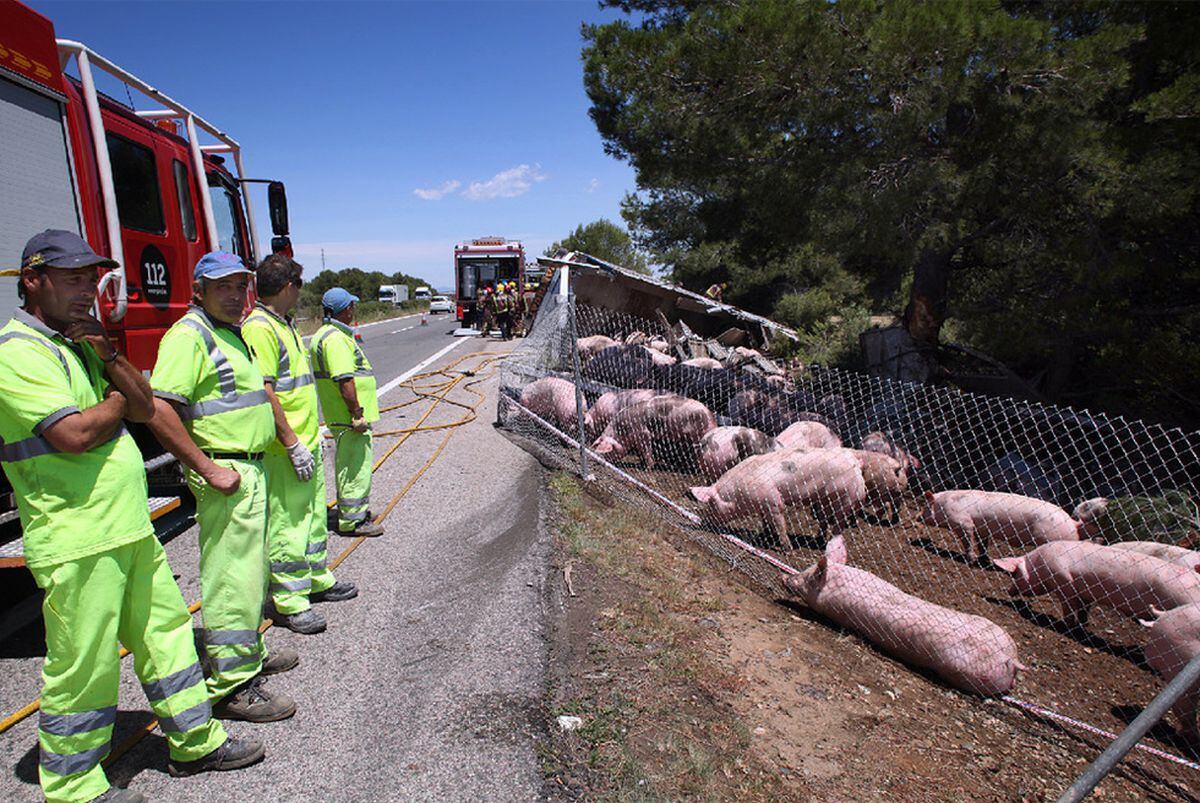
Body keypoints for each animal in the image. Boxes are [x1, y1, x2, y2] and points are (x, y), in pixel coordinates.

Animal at [691, 444, 868, 552]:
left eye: (711, 504)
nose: (703, 522)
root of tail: (855, 463)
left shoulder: (773, 500)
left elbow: (780, 522)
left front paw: (786, 549)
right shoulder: (763, 504)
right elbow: (766, 520)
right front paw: (765, 535)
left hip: (846, 498)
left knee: (839, 523)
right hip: (824, 500)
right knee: (824, 520)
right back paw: (818, 539)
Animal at [921, 489, 1084, 564]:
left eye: (926, 507)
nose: (918, 516)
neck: (943, 505)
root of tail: (1074, 523)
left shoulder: (963, 523)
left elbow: (967, 541)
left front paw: (971, 560)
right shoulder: (982, 529)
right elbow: (982, 543)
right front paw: (984, 560)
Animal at [993, 537, 1200, 624]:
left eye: (1016, 574)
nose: (1009, 591)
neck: (1039, 566)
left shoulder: (1064, 582)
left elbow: (1069, 607)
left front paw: (1069, 624)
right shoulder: (1086, 592)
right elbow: (1084, 609)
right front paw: (1083, 624)